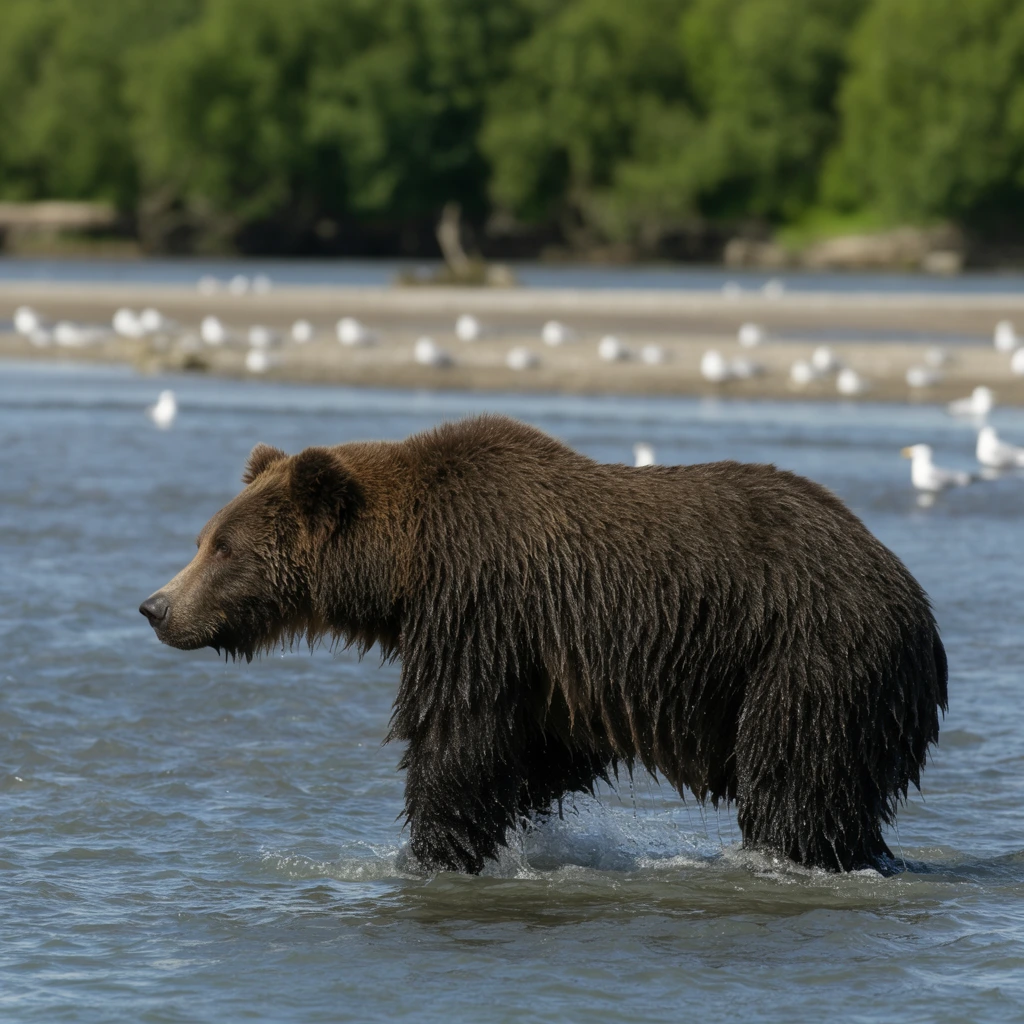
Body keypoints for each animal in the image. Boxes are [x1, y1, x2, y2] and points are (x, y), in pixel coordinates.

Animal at [140, 414, 947, 874]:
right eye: (204, 538)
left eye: (223, 548)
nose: (156, 606)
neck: (402, 571)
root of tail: (918, 607)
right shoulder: (551, 663)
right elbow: (539, 751)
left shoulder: (478, 608)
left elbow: (458, 741)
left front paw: (430, 853)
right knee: (844, 799)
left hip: (808, 656)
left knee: (793, 785)